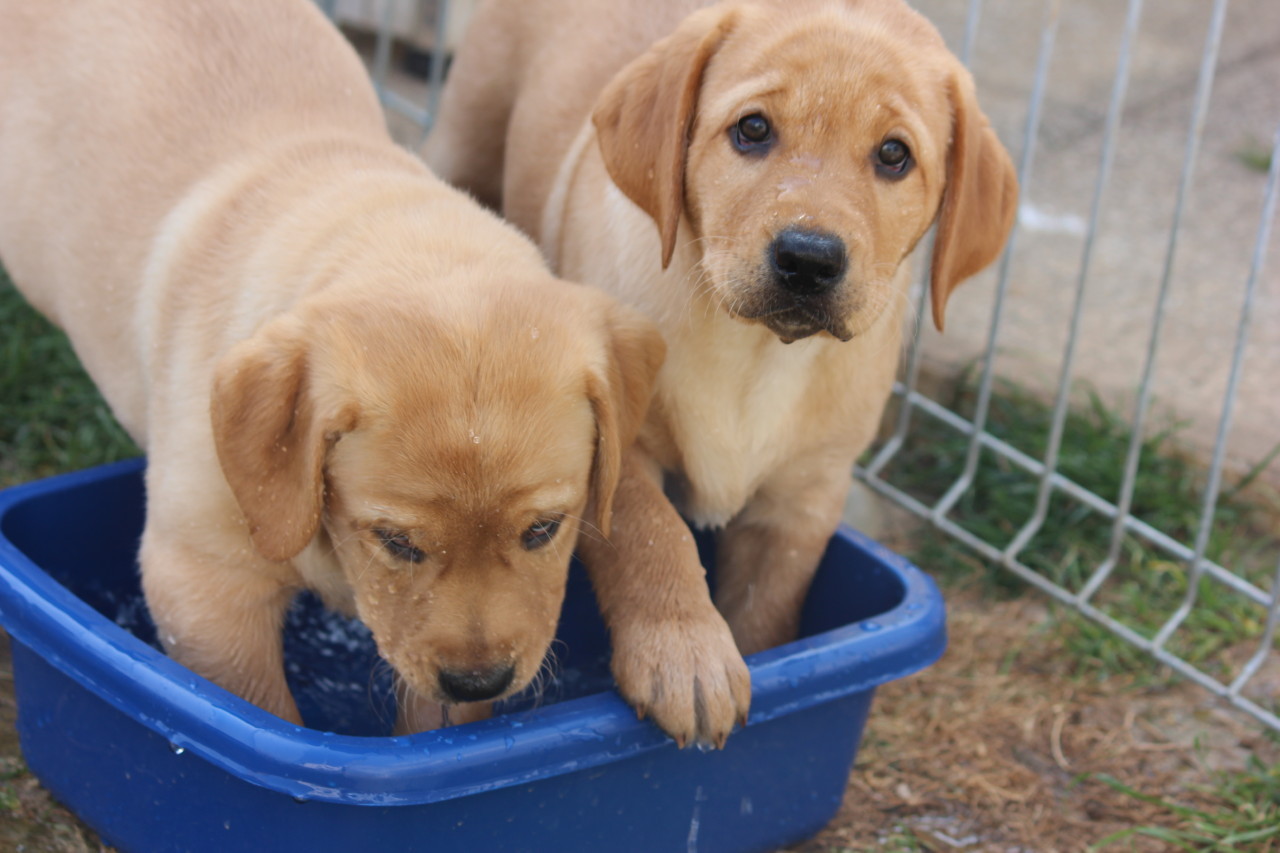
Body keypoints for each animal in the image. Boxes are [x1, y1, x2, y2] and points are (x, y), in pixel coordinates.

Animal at [430, 0, 1018, 732]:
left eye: (894, 155)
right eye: (753, 129)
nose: (808, 258)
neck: (756, 354)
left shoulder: (804, 496)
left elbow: (769, 606)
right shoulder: (615, 449)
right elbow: (655, 537)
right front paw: (686, 656)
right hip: (469, 134)